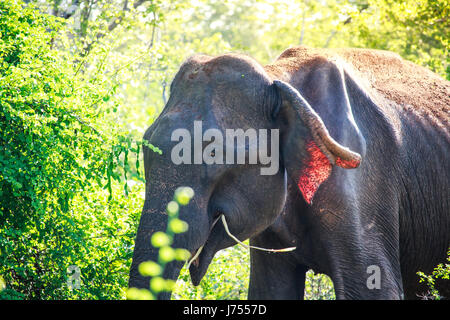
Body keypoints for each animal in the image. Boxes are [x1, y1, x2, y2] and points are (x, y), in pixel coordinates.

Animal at [128, 45, 448, 300]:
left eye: (214, 153)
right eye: (145, 147)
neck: (278, 80)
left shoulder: (365, 184)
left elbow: (375, 289)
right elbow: (271, 291)